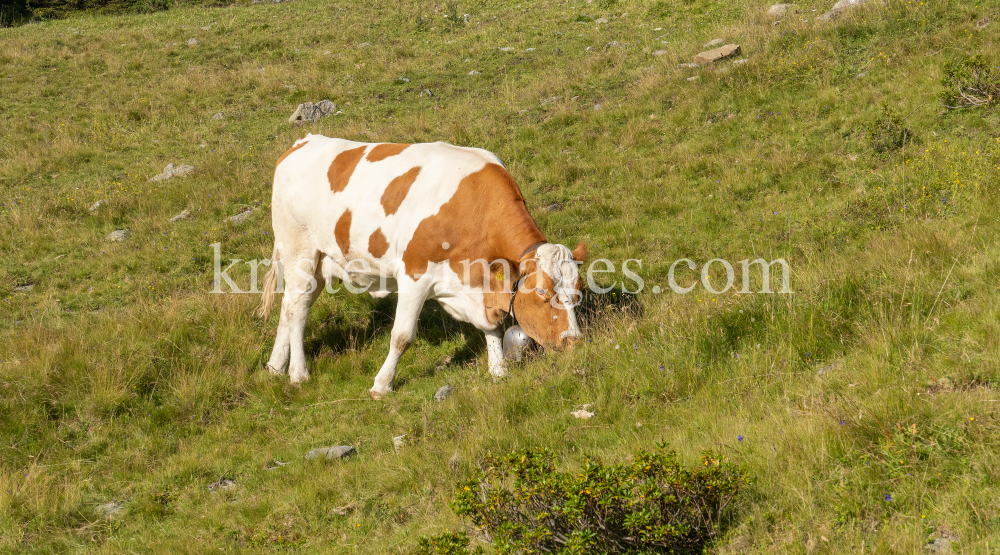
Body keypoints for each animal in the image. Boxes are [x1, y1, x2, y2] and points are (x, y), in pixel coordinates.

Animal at [258, 137, 584, 402]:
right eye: (542, 293)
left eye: (579, 293)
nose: (574, 342)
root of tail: (302, 143)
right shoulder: (414, 275)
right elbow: (402, 336)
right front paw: (382, 385)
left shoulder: (479, 288)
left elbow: (492, 326)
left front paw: (498, 370)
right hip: (298, 249)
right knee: (298, 309)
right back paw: (298, 373)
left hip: (321, 262)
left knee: (290, 305)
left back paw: (275, 366)